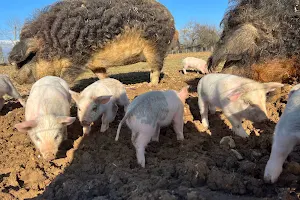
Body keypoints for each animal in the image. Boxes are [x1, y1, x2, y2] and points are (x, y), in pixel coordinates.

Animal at [8, 0, 176, 85]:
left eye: (30, 57)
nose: (15, 78)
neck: (54, 42)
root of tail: (170, 16)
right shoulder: (94, 63)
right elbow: (102, 75)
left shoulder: (78, 58)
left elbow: (66, 77)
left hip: (155, 46)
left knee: (156, 68)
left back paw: (150, 86)